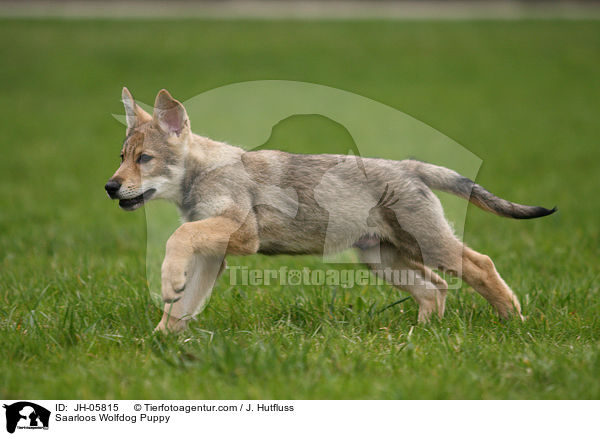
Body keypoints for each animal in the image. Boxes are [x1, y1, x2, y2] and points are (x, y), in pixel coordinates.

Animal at [104, 88, 556, 332]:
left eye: (145, 159)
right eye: (122, 157)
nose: (110, 187)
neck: (202, 173)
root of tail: (409, 166)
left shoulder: (242, 236)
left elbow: (176, 238)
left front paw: (168, 282)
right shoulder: (214, 256)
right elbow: (182, 307)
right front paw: (159, 340)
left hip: (429, 247)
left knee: (481, 265)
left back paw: (512, 320)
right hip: (383, 258)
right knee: (435, 288)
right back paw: (424, 333)